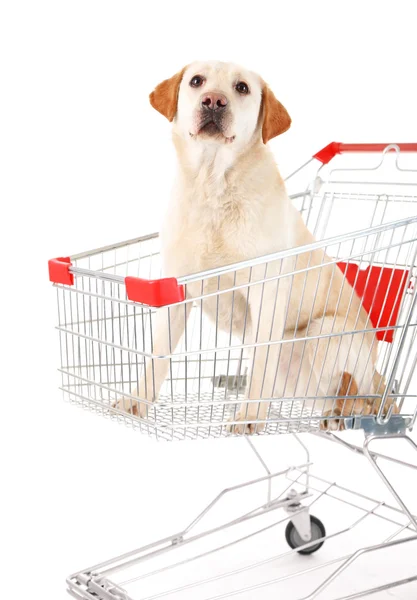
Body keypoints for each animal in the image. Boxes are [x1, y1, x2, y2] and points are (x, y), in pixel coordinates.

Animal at [115, 62, 394, 432]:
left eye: (242, 88)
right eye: (196, 81)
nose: (213, 101)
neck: (213, 185)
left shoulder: (267, 295)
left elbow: (261, 364)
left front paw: (250, 416)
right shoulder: (174, 293)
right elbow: (156, 356)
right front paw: (136, 401)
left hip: (327, 332)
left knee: (364, 396)